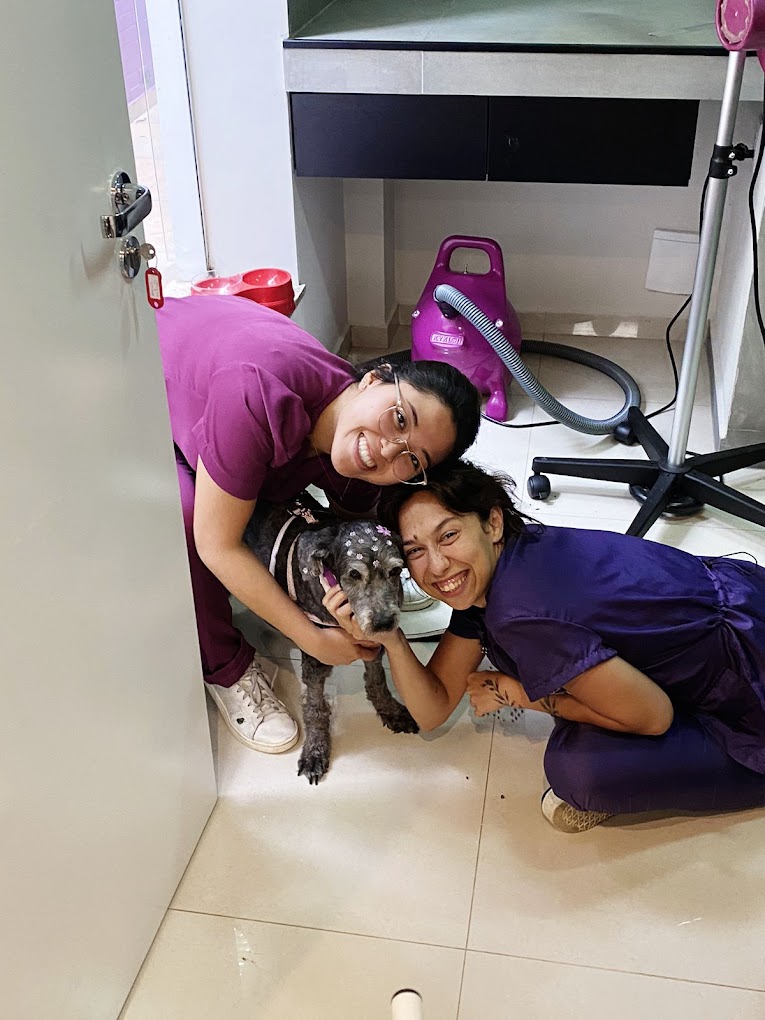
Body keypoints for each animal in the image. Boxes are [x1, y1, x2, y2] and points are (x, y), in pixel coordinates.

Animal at [243, 493, 419, 783]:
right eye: (354, 574)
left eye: (395, 571)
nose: (383, 623)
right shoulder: (316, 655)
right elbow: (314, 708)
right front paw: (315, 750)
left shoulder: (372, 643)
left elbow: (377, 680)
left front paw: (389, 709)